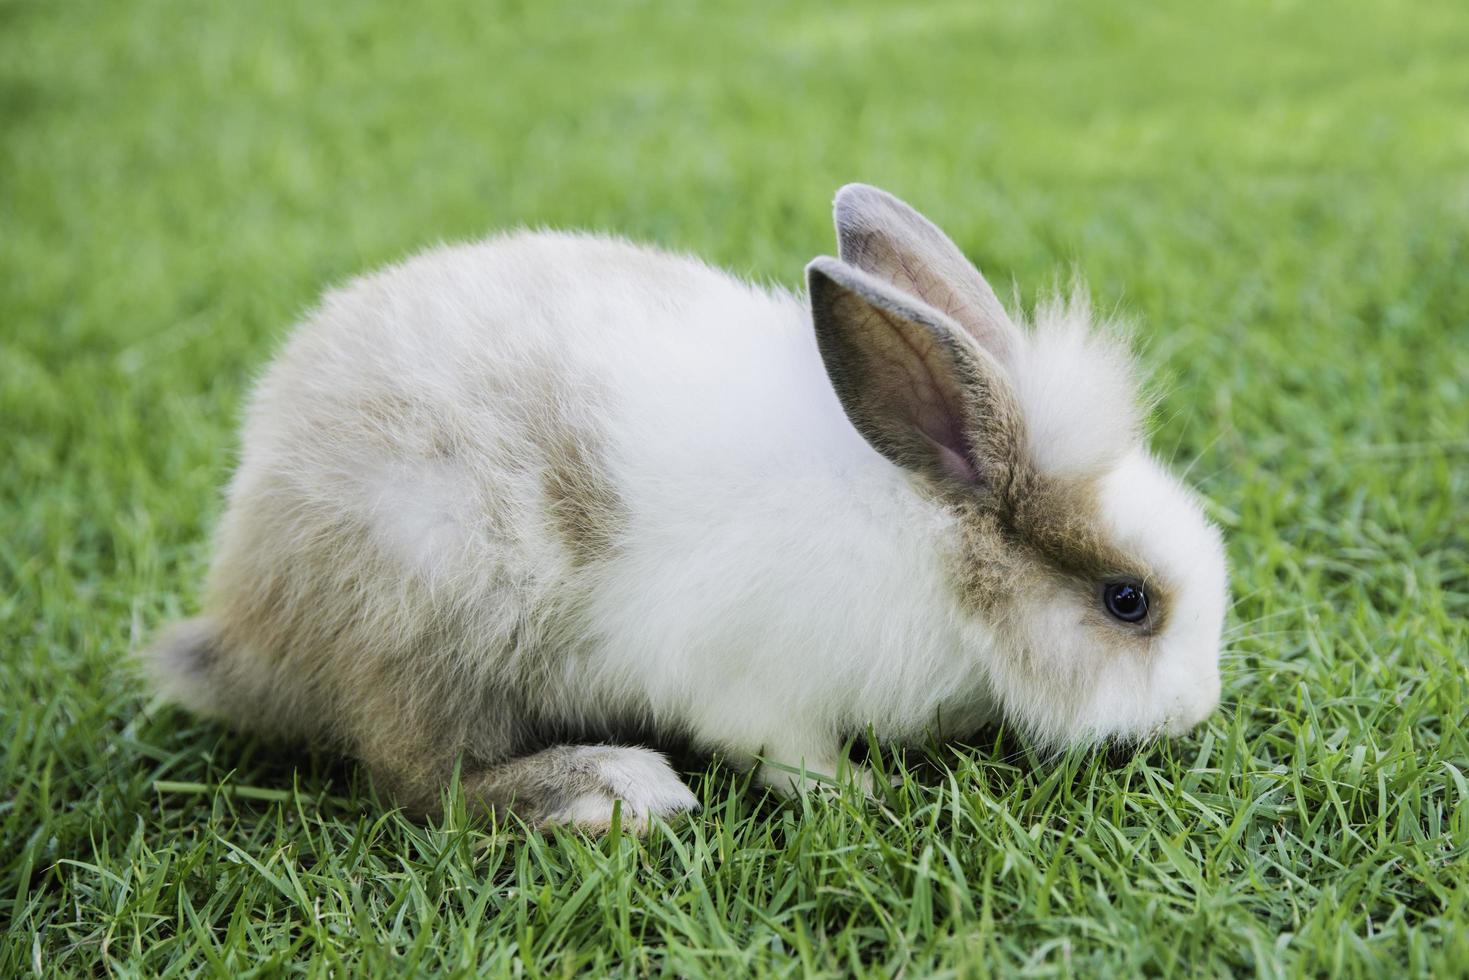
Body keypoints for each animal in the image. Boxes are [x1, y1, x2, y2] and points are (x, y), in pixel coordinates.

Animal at [146, 185, 1228, 834]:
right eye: (1128, 601)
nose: (1196, 710)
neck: (932, 537)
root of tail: (243, 618)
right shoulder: (757, 685)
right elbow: (789, 757)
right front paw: (870, 797)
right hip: (430, 626)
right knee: (427, 782)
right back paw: (619, 790)